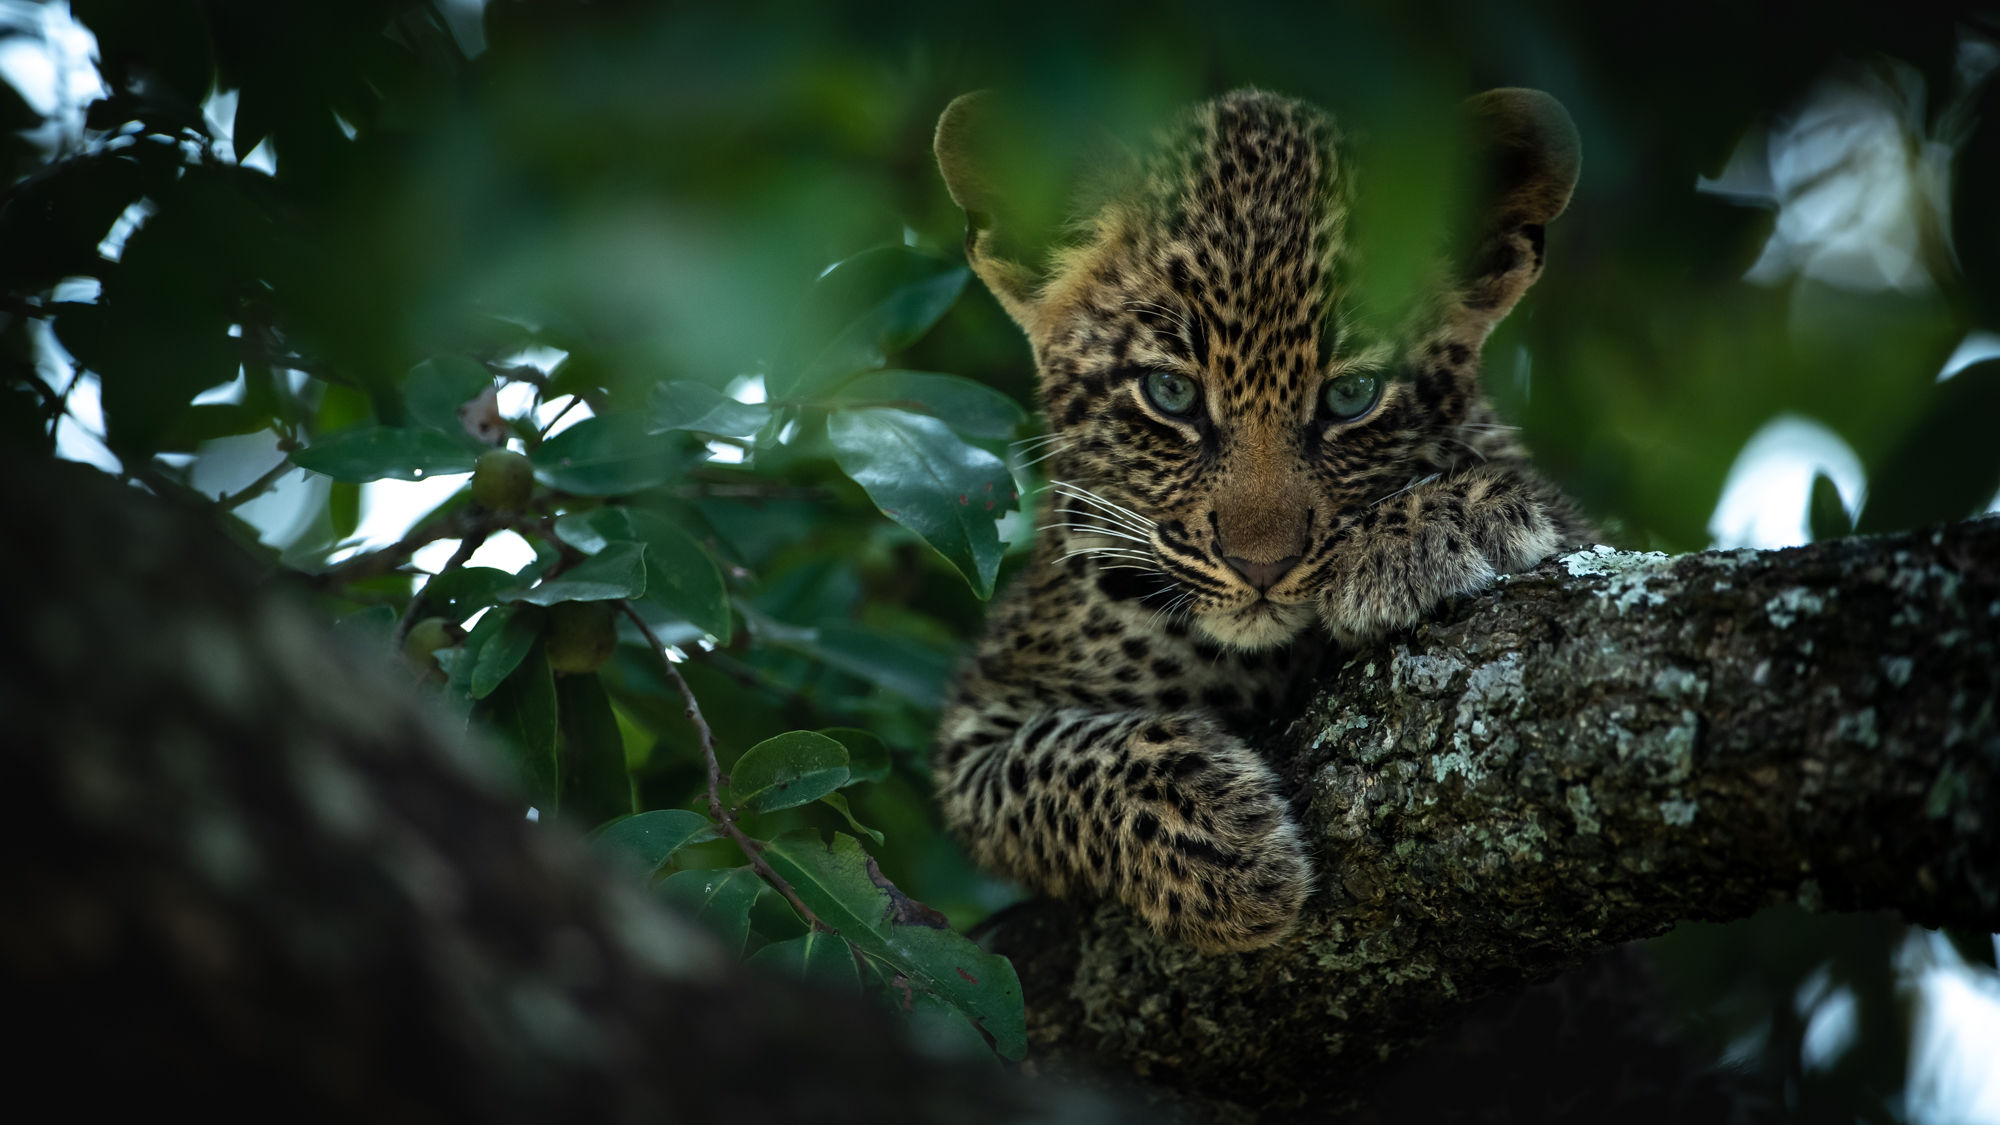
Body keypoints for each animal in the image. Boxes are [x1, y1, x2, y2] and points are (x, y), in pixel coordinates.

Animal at [928, 86, 1595, 953]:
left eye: (1352, 396)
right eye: (1170, 393)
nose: (1261, 566)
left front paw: (1438, 526)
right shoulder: (978, 724)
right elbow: (1059, 758)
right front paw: (1221, 848)